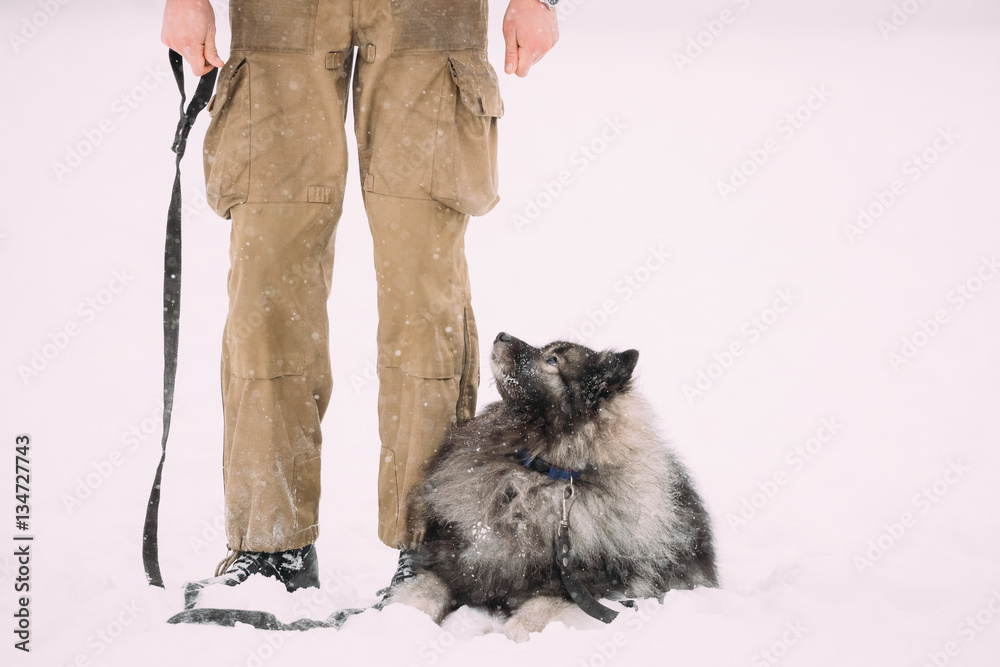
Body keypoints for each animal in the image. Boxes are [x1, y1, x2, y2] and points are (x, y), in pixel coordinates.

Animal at [384, 334, 720, 640]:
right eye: (548, 350)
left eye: (553, 361)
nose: (501, 335)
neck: (538, 472)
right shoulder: (454, 564)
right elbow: (420, 595)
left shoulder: (583, 594)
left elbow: (523, 625)